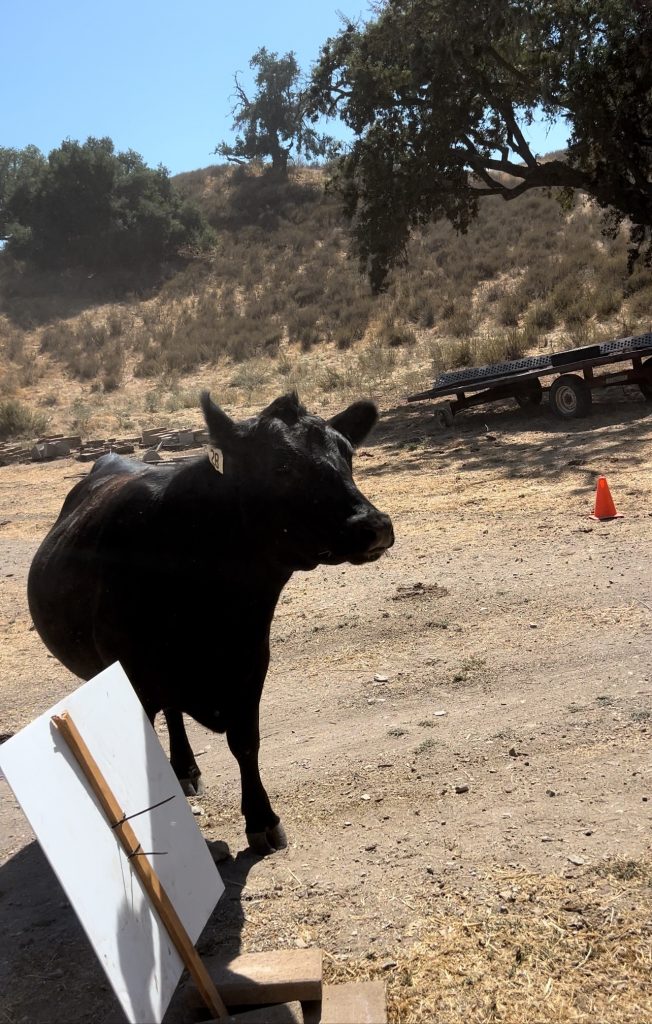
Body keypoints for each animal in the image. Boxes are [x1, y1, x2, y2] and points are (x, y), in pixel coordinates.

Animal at [29, 387, 390, 851]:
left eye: (348, 456)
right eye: (282, 466)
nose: (375, 524)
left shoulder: (250, 665)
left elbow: (246, 742)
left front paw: (262, 820)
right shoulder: (136, 680)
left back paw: (186, 769)